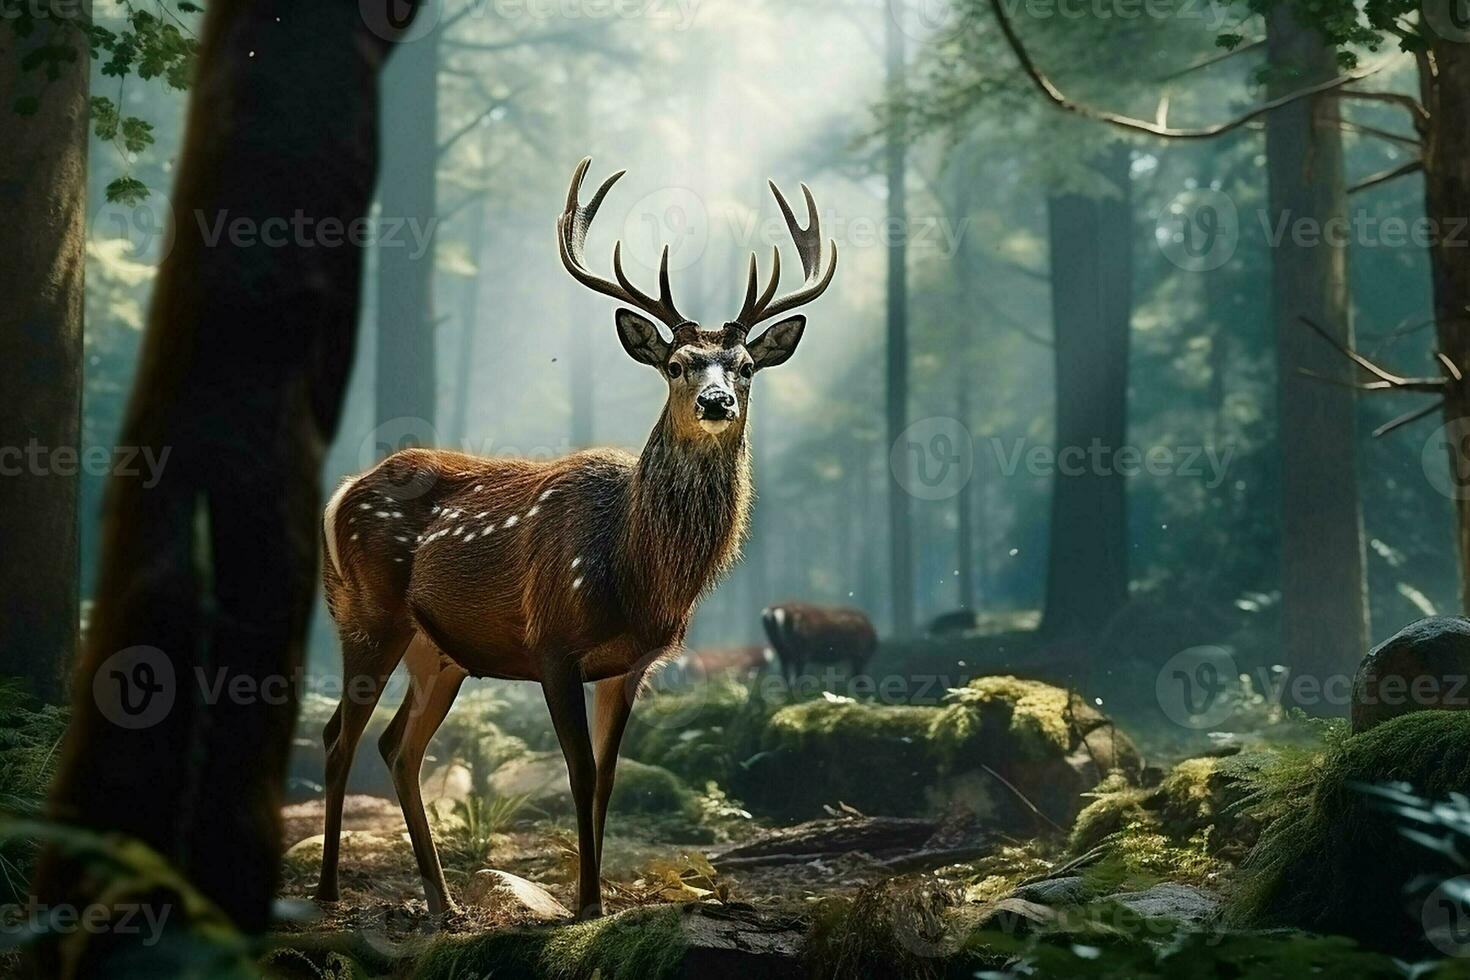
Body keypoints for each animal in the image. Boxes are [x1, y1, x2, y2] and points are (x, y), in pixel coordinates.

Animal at [313, 159, 840, 922]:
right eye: (677, 363)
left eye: (745, 366)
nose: (717, 403)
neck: (636, 571)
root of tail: (341, 492)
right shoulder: (553, 644)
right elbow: (580, 773)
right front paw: (584, 904)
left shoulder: (632, 665)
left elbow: (611, 776)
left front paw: (598, 901)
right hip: (367, 615)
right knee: (337, 737)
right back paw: (327, 892)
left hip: (439, 652)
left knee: (397, 747)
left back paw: (444, 903)